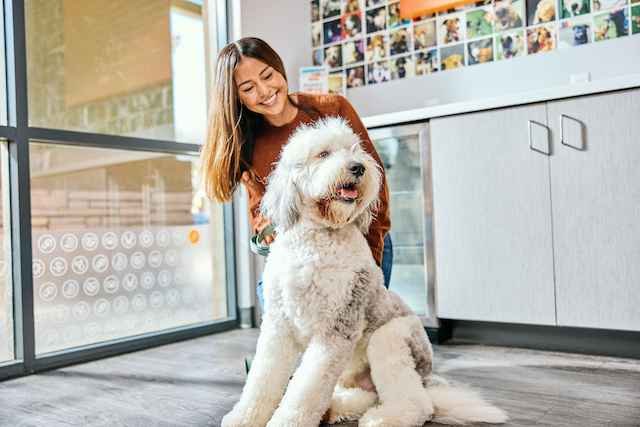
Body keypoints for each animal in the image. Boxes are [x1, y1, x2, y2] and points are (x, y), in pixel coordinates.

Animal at [221, 118, 508, 427]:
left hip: (391, 340)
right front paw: (244, 417)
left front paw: (285, 422)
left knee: (418, 403)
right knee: (362, 395)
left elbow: (305, 390)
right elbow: (262, 380)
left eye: (354, 150)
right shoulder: (278, 327)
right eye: (323, 154)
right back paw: (336, 408)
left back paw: (383, 418)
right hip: (350, 373)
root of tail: (428, 378)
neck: (317, 237)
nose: (358, 167)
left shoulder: (336, 331)